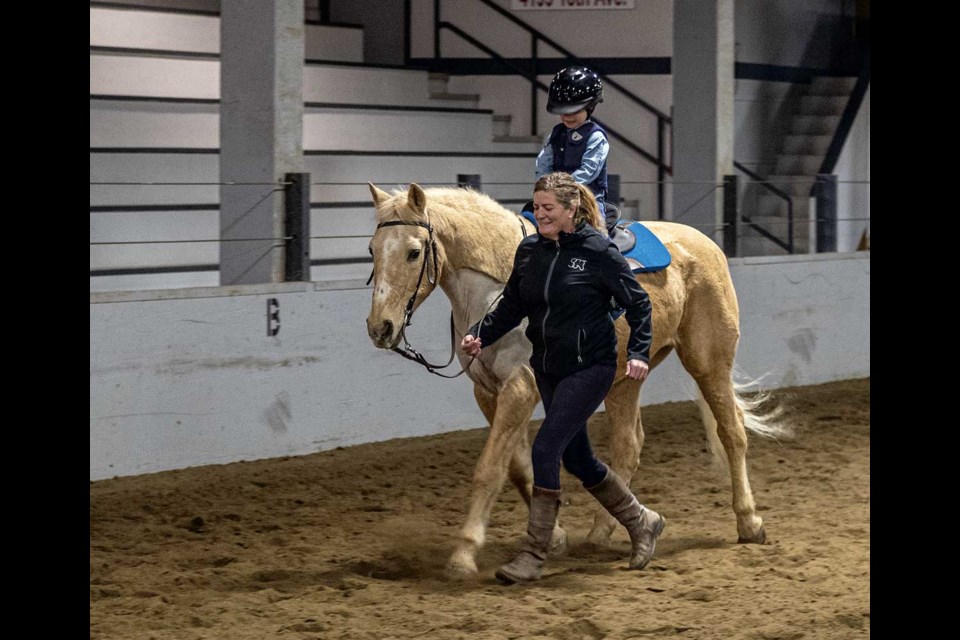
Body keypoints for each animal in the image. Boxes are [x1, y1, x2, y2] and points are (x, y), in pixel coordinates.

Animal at [364, 182, 784, 576]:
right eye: (372, 249)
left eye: (413, 252)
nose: (380, 328)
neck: (494, 288)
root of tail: (707, 245)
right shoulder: (488, 391)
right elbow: (518, 467)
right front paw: (556, 537)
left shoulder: (520, 387)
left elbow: (490, 469)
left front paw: (464, 555)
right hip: (625, 380)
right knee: (628, 446)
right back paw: (603, 533)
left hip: (709, 362)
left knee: (732, 432)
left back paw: (750, 522)